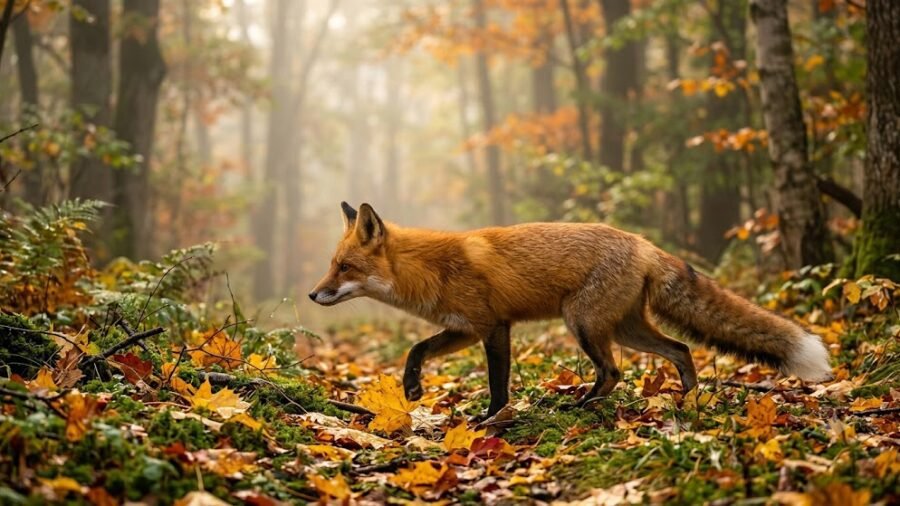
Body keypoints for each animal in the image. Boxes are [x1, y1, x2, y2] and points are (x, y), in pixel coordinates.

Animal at [309, 202, 833, 418]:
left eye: (343, 267)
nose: (314, 295)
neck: (433, 268)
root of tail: (642, 243)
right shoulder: (464, 329)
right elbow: (416, 350)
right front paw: (413, 387)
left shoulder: (493, 327)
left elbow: (497, 384)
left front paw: (489, 419)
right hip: (622, 329)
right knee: (681, 350)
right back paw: (687, 399)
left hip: (582, 324)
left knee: (614, 372)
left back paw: (582, 404)